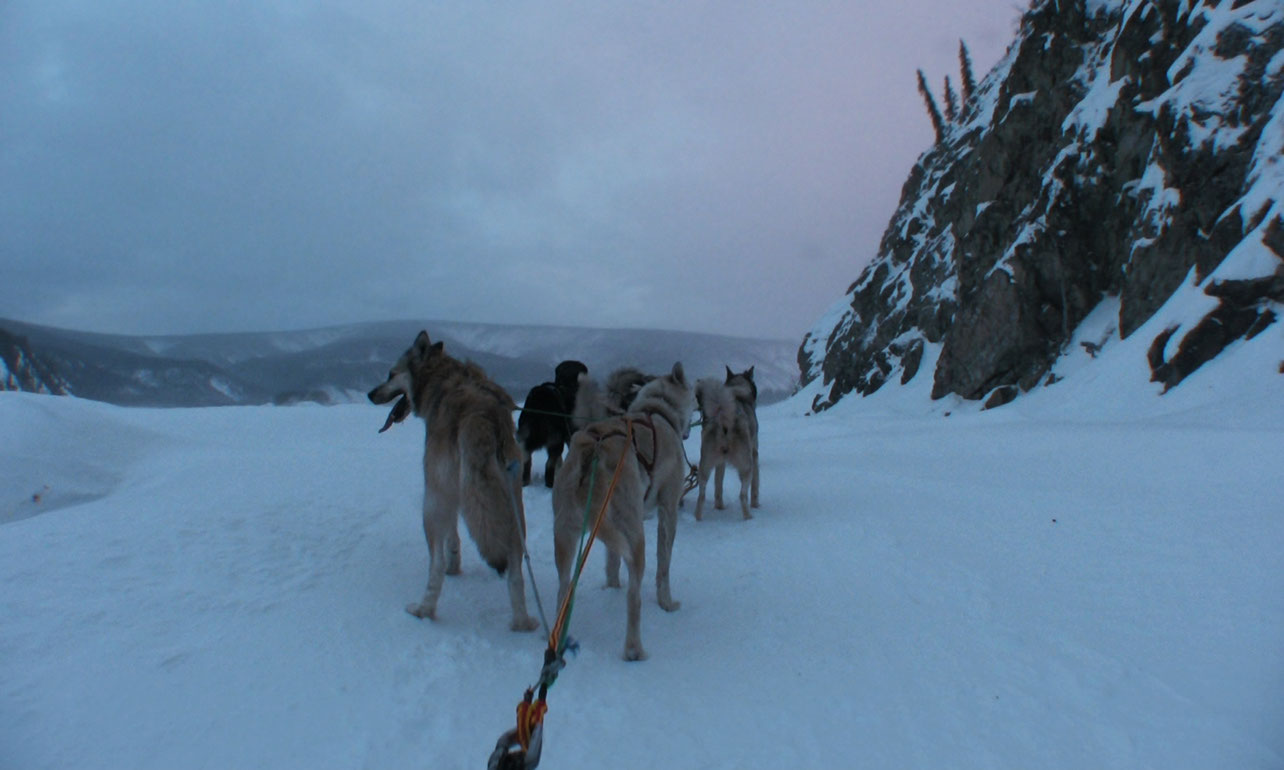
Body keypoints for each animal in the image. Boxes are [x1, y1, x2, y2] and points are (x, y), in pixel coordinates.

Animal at [367, 331, 536, 631]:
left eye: (391, 374)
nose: (370, 394)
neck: (442, 378)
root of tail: (482, 417)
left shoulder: (442, 490)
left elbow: (450, 538)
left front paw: (452, 567)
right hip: (514, 508)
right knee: (516, 573)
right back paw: (522, 623)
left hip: (431, 504)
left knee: (434, 567)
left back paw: (423, 610)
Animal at [549, 361, 698, 662]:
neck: (658, 411)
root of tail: (592, 452)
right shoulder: (667, 511)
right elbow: (664, 565)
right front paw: (666, 602)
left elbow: (611, 562)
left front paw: (611, 586)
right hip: (634, 536)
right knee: (634, 597)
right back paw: (634, 649)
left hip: (566, 538)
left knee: (563, 588)